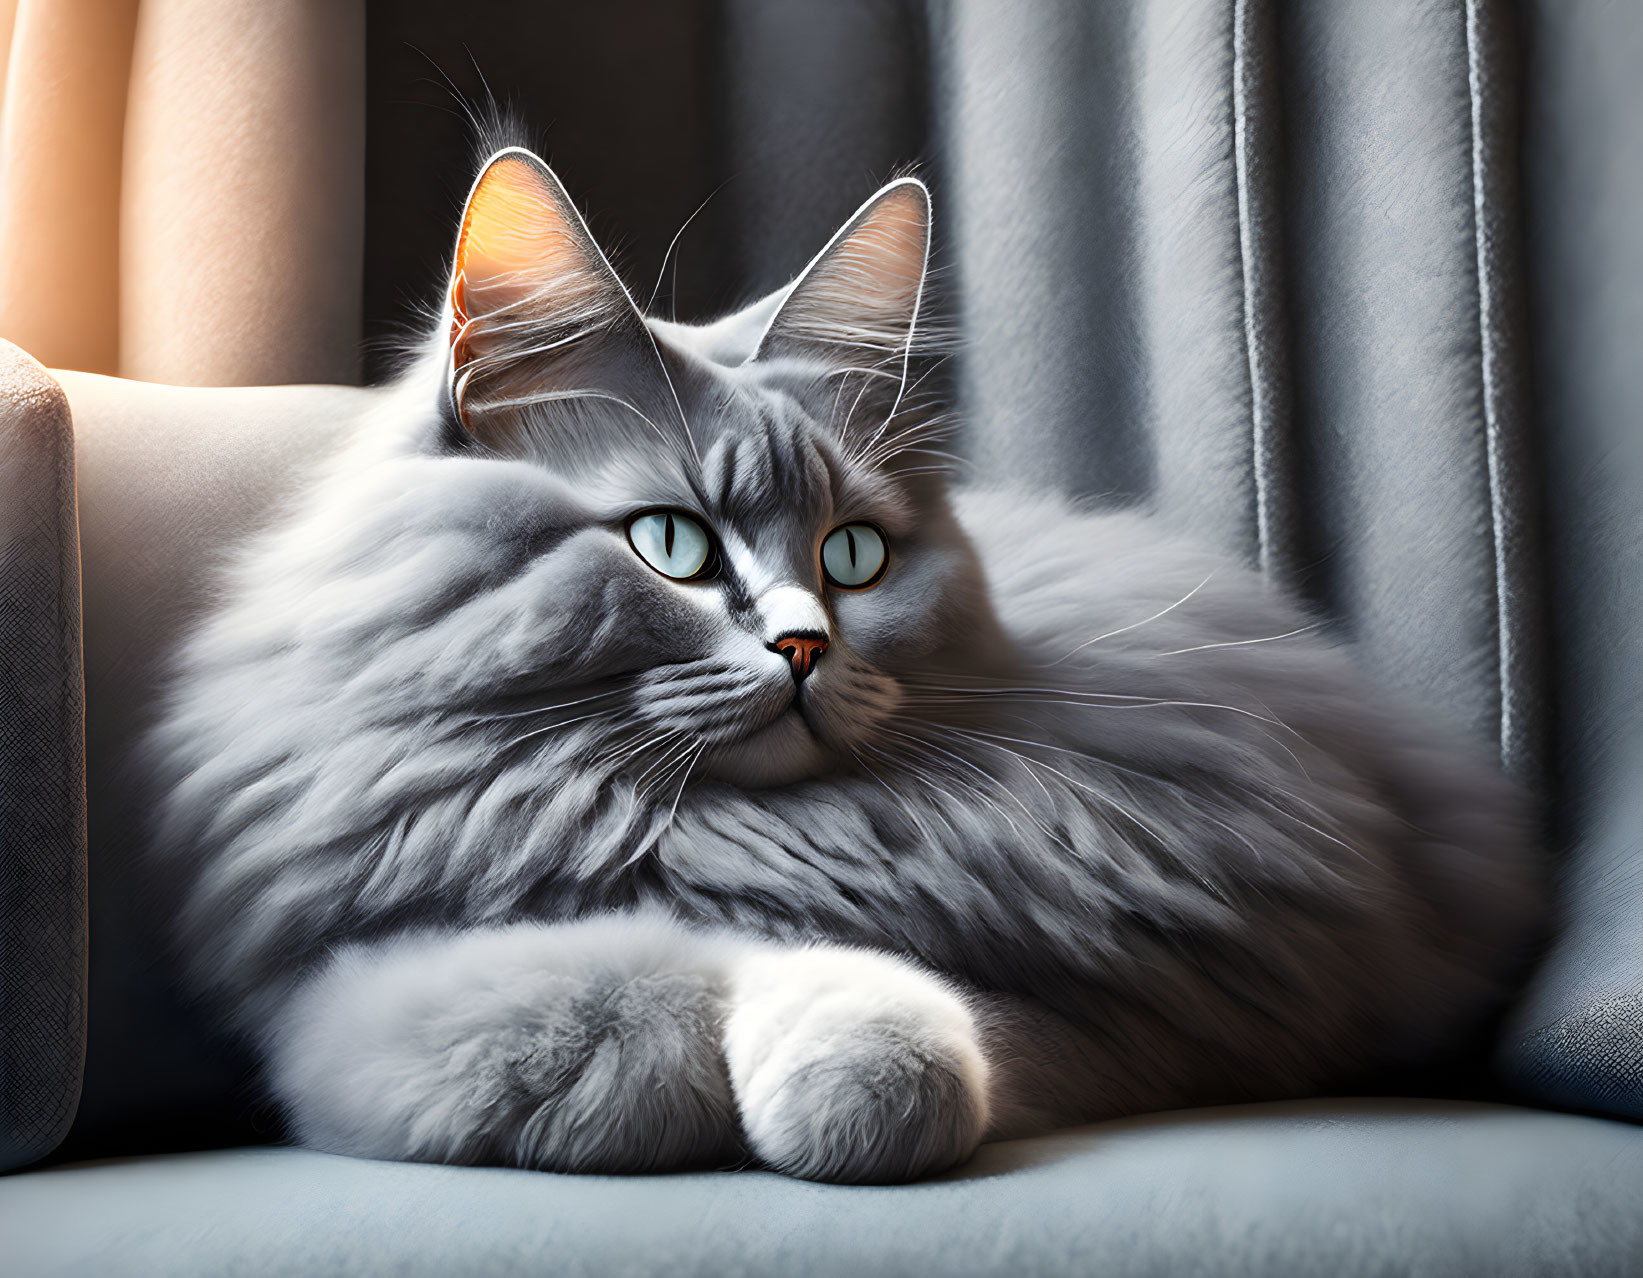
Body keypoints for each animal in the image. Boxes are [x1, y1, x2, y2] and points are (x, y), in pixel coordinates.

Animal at [141, 144, 1537, 1182]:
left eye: (854, 555)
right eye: (671, 543)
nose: (806, 645)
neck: (696, 836)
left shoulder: (1147, 1008)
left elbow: (926, 1035)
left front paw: (853, 1088)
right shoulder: (346, 996)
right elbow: (630, 996)